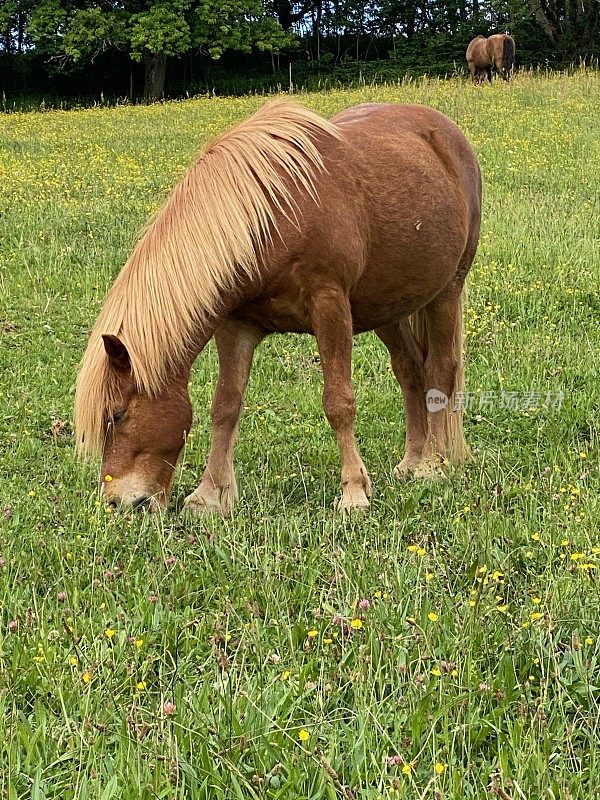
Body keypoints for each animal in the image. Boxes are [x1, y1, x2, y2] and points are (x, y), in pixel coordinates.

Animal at [75, 100, 482, 516]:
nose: (117, 503)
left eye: (118, 415)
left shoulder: (330, 307)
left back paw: (433, 465)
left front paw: (353, 492)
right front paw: (210, 494)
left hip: (446, 291)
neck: (269, 217)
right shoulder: (235, 325)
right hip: (389, 307)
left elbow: (339, 403)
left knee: (439, 371)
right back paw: (412, 460)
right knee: (410, 370)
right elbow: (225, 406)